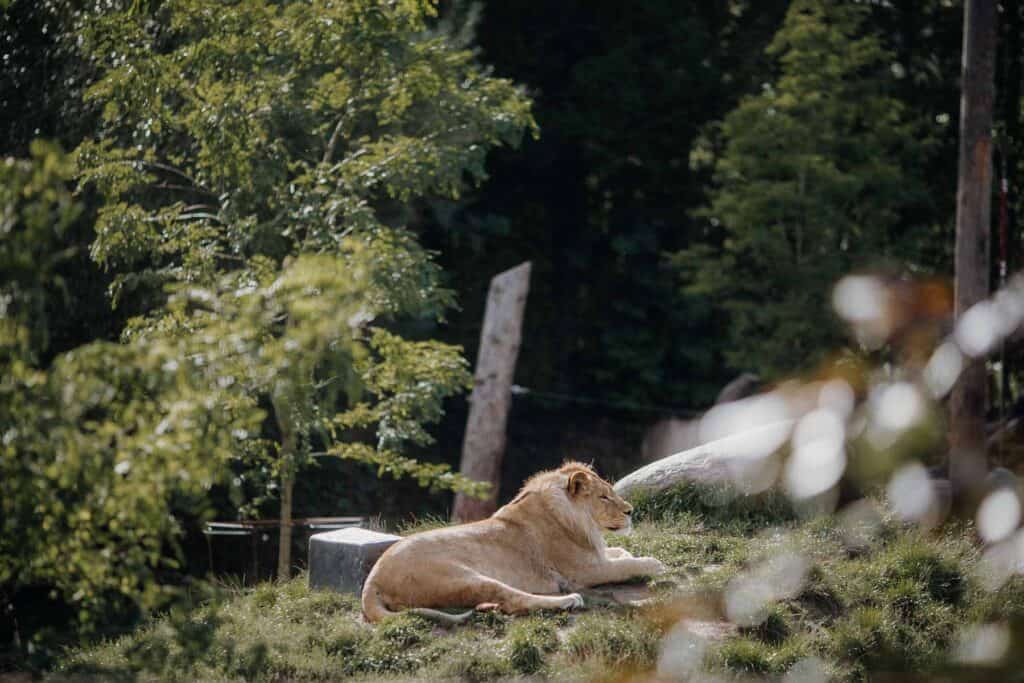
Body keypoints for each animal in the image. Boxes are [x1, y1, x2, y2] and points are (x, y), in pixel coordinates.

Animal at [360, 458, 663, 626]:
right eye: (603, 497)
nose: (630, 511)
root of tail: (373, 579)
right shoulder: (583, 571)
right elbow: (625, 565)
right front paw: (654, 564)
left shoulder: (595, 555)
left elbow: (620, 552)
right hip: (462, 577)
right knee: (513, 600)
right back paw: (568, 600)